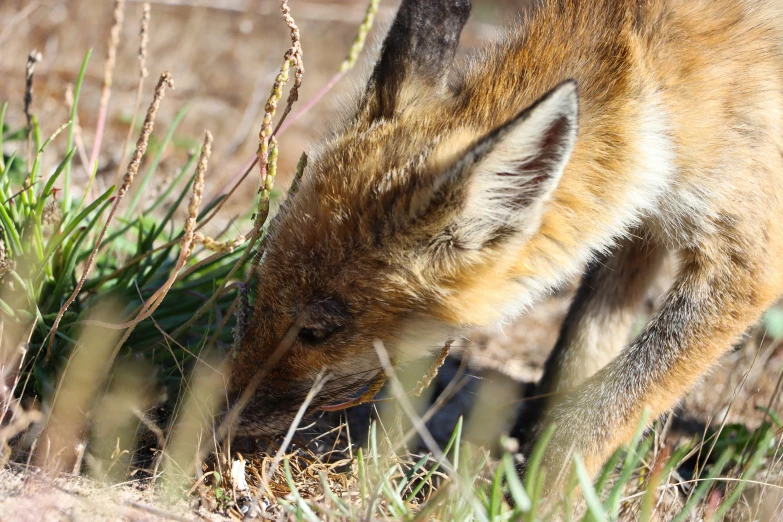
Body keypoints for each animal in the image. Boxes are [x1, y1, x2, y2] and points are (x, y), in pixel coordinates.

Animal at [227, 0, 783, 490]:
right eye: (262, 289)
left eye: (316, 331)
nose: (218, 412)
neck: (661, 81)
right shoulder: (640, 225)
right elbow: (574, 363)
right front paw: (524, 470)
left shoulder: (746, 259)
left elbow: (598, 410)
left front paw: (537, 497)